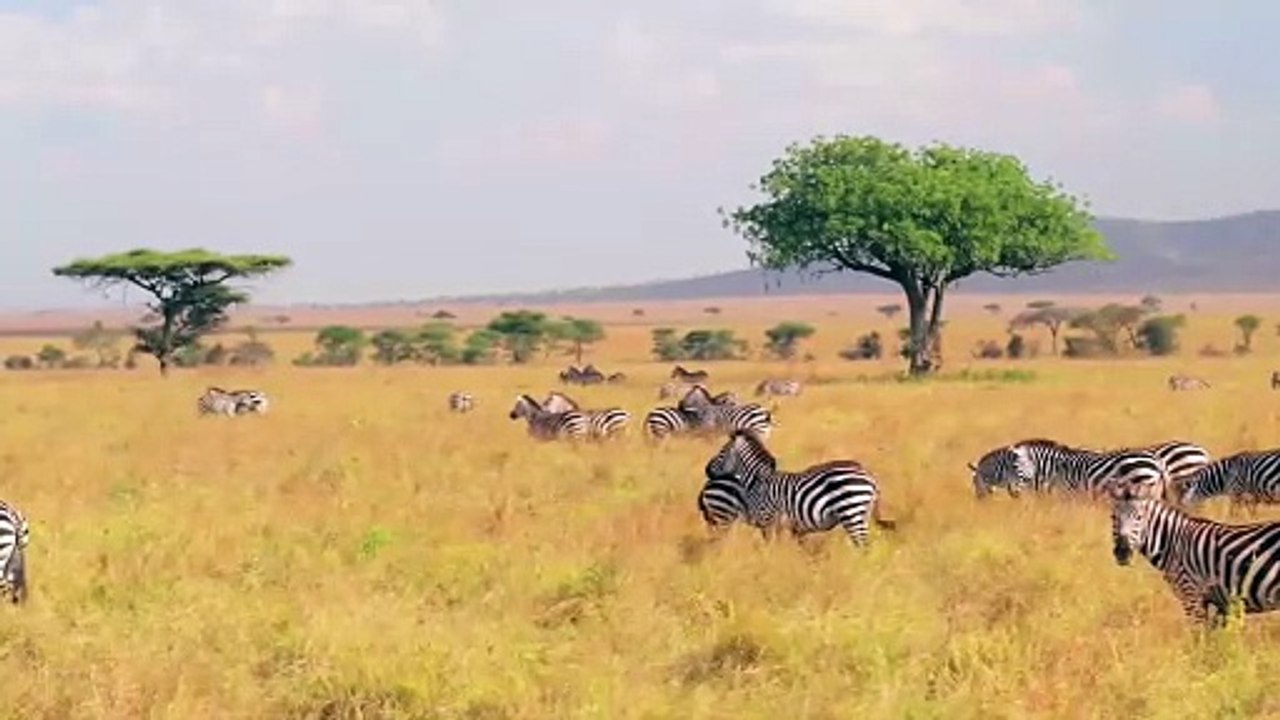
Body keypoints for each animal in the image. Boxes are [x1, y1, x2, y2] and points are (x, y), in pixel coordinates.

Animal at [698, 430, 895, 546]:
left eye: (721, 452)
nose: (707, 470)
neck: (758, 479)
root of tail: (870, 478)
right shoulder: (779, 525)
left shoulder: (767, 519)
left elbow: (770, 548)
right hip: (862, 514)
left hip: (851, 512)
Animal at [1110, 484, 1280, 627]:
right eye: (1113, 518)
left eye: (1139, 517)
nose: (1122, 552)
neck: (1173, 543)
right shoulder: (1216, 604)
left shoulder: (1192, 595)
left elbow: (1199, 640)